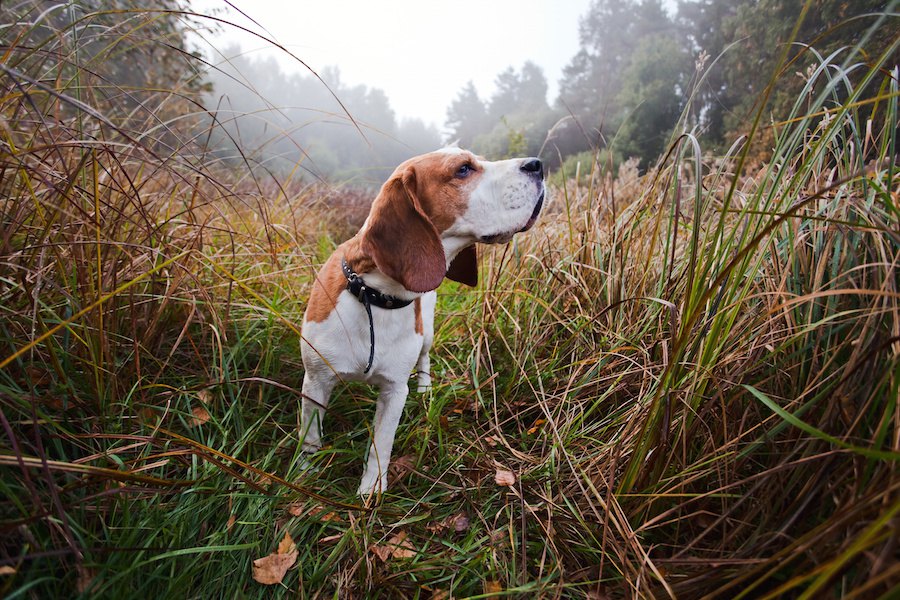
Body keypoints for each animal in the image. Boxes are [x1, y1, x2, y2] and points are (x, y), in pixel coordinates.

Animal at [298, 148, 544, 500]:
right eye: (463, 169)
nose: (538, 164)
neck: (375, 296)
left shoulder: (394, 390)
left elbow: (381, 444)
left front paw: (371, 489)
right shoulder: (315, 381)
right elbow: (310, 437)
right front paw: (305, 474)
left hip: (426, 332)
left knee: (425, 358)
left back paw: (426, 388)